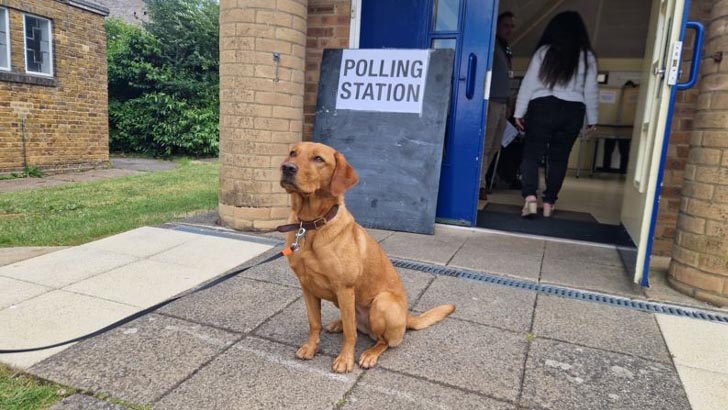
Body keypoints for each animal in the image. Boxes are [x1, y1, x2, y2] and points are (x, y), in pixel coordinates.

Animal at [278, 143, 456, 374]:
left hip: (381, 303)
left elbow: (350, 334)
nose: (287, 168)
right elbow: (314, 323)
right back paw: (337, 324)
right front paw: (310, 347)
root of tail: (406, 318)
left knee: (382, 341)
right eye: (293, 153)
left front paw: (345, 359)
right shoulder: (306, 286)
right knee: (354, 325)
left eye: (318, 159)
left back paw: (370, 354)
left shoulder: (345, 288)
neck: (310, 226)